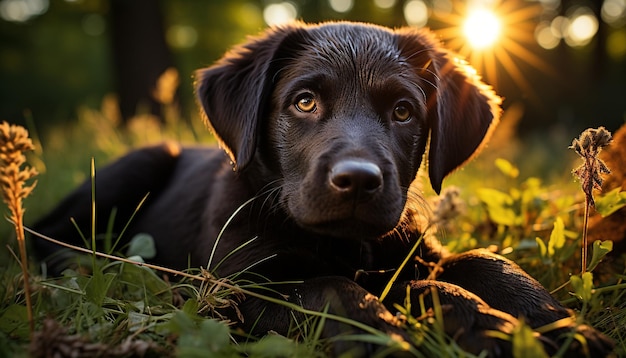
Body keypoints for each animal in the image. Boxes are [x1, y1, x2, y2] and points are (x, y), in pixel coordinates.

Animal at [33, 21, 608, 356]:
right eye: (304, 102)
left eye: (404, 111)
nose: (358, 180)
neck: (346, 244)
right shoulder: (246, 285)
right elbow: (329, 288)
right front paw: (384, 336)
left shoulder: (416, 254)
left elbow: (486, 263)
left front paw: (555, 329)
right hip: (136, 165)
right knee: (46, 239)